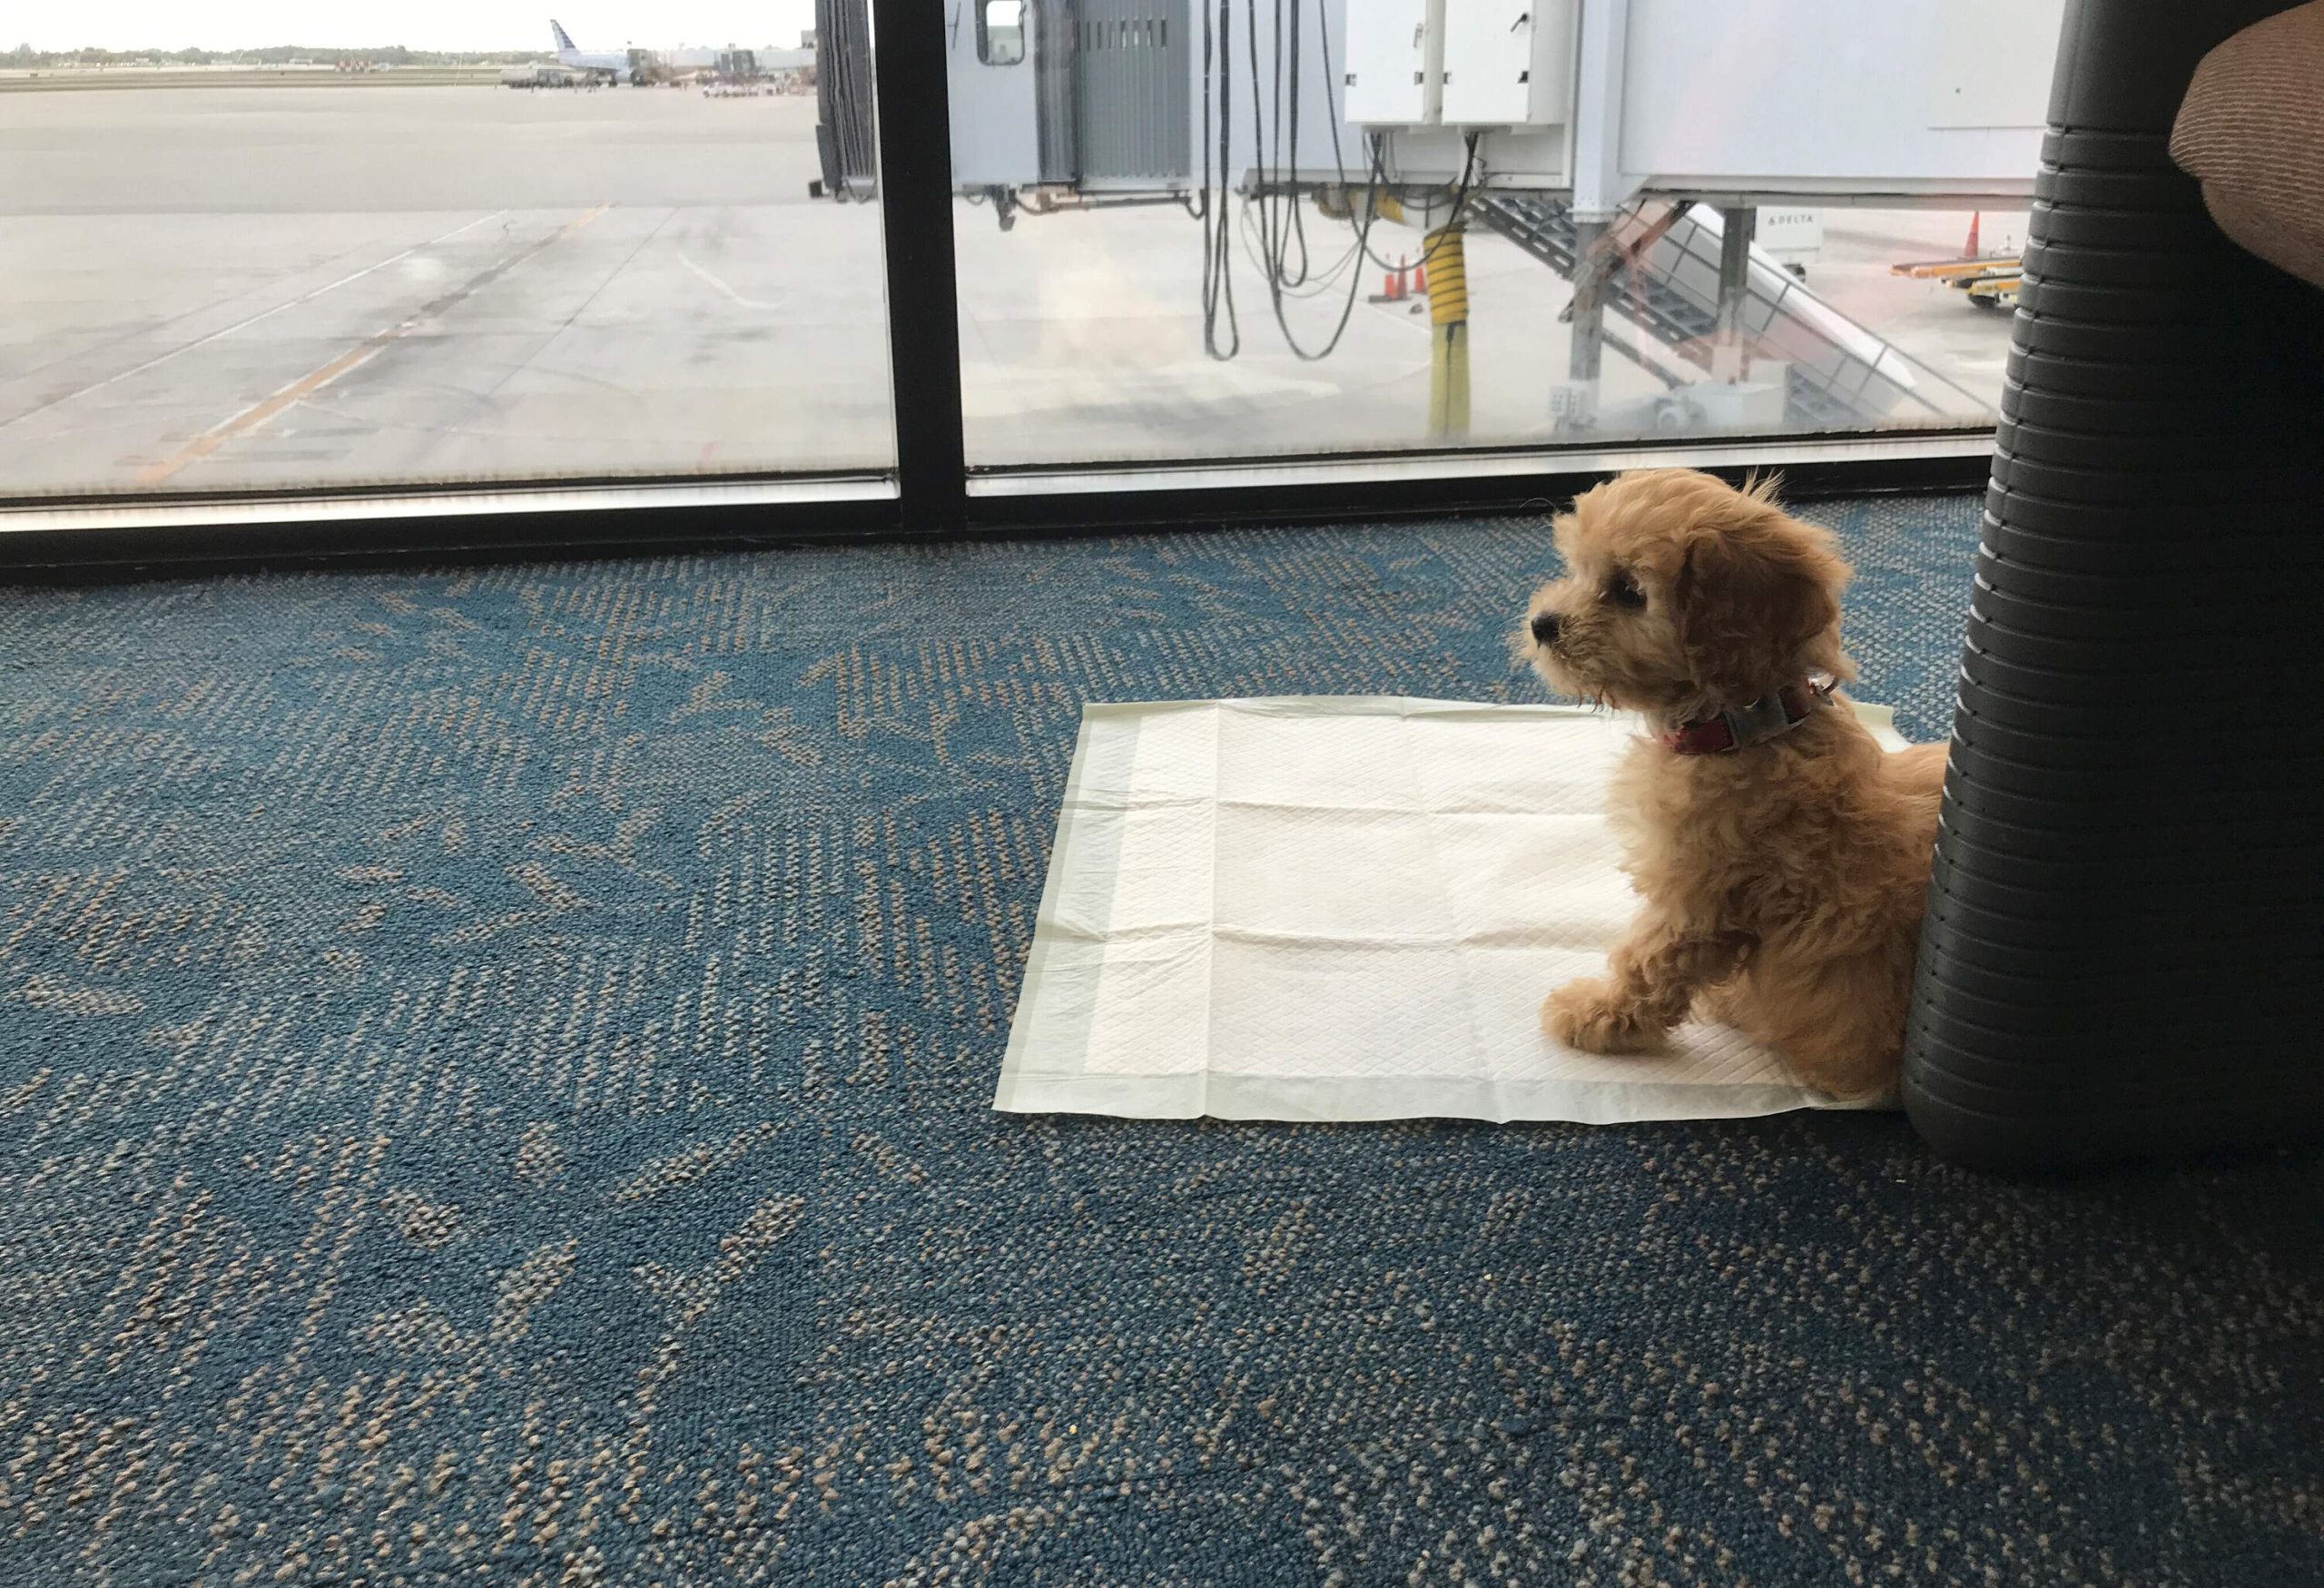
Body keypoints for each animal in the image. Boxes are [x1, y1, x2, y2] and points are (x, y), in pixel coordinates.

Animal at [1524, 465, 1943, 1097]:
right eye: (1579, 568)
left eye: (1629, 592)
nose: (1541, 624)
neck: (1747, 726)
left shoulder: (1699, 895)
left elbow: (1650, 963)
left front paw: (1597, 1015)